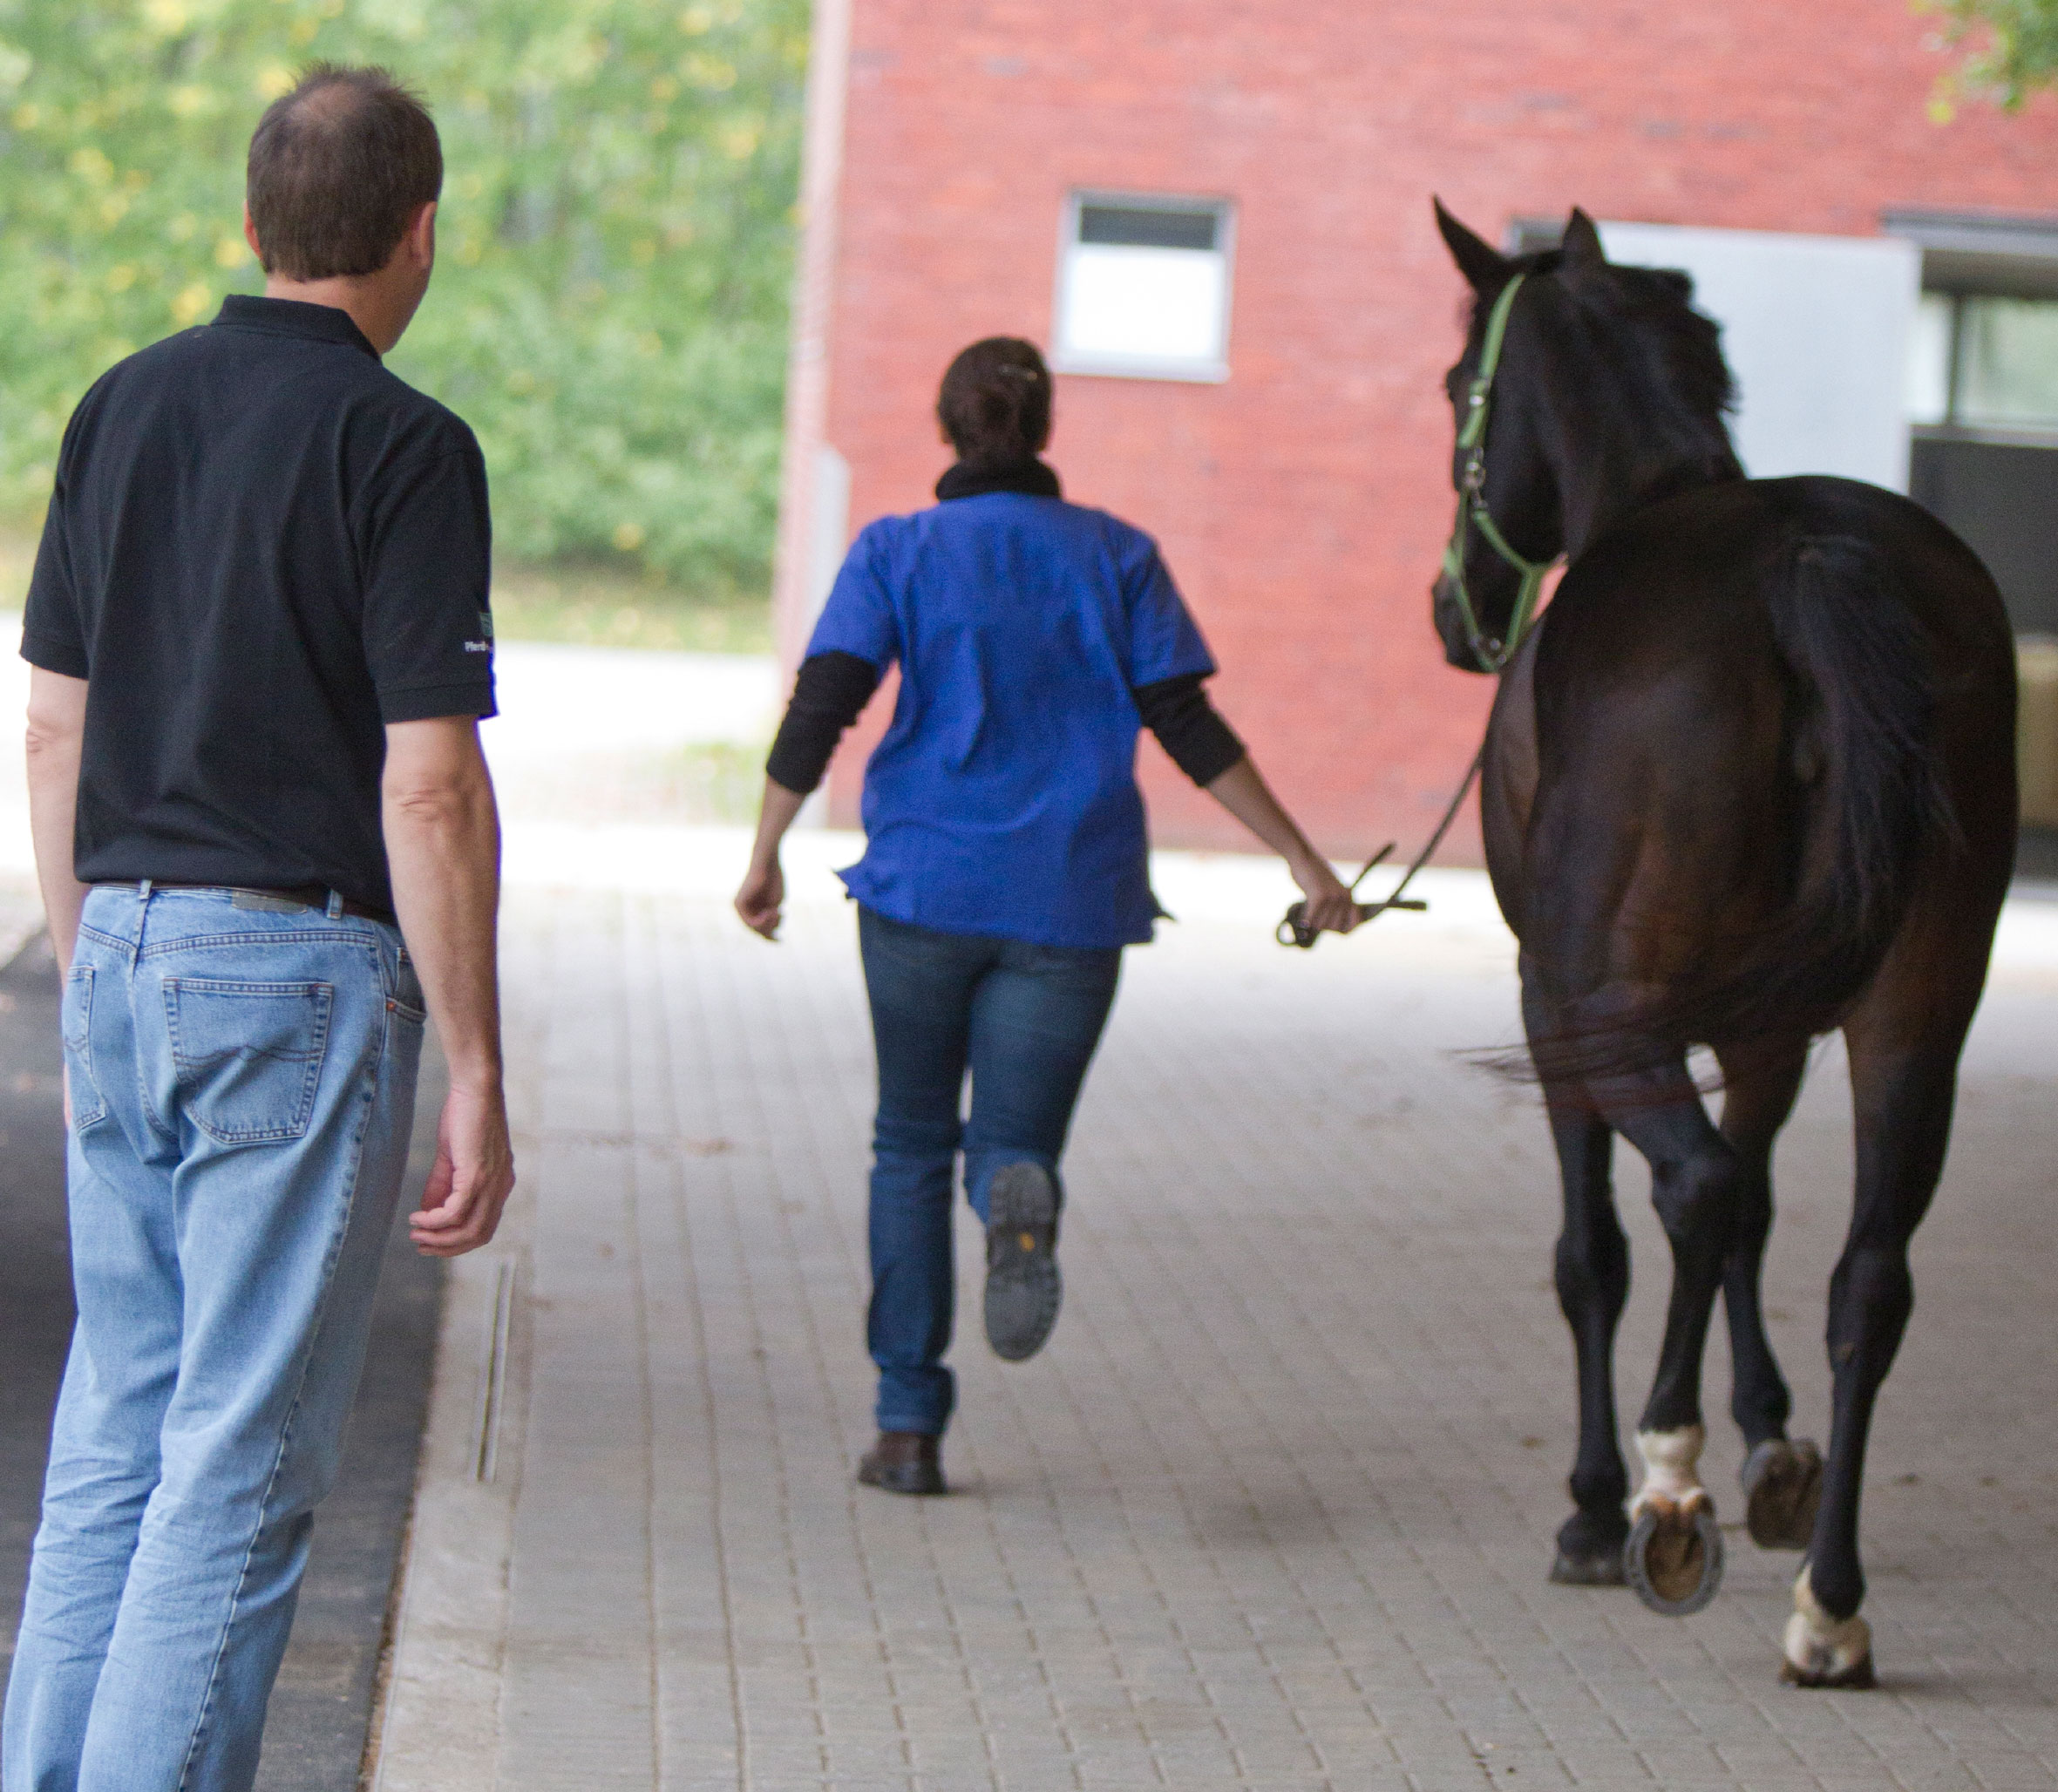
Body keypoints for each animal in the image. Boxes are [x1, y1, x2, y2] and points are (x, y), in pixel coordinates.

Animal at [1432, 203, 2008, 1687]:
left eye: (1459, 387)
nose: (1456, 612)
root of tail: (1808, 564)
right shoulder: (1770, 1026)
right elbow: (1750, 1221)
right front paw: (1766, 1446)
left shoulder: (1557, 1010)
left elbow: (1604, 1249)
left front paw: (1611, 1497)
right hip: (1914, 1013)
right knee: (1865, 1274)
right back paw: (1830, 1607)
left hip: (1607, 1006)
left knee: (1690, 1190)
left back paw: (1665, 1501)